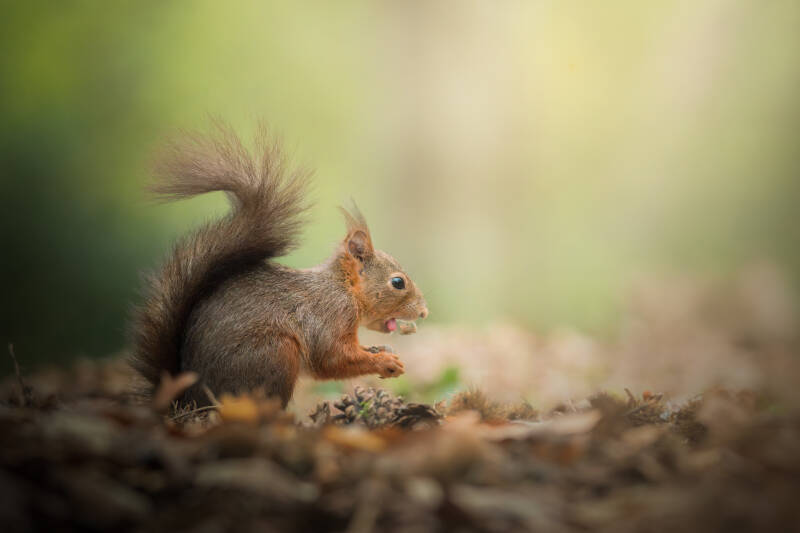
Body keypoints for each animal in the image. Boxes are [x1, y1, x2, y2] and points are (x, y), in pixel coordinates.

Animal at [129, 122, 428, 407]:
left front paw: (382, 352)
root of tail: (186, 400)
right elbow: (331, 358)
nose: (424, 312)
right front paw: (385, 363)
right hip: (275, 353)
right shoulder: (330, 314)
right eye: (398, 282)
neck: (343, 288)